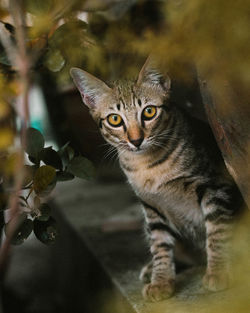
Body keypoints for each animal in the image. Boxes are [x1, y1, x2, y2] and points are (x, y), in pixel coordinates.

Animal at [69, 59, 243, 302]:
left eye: (149, 112)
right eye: (115, 119)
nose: (136, 140)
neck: (147, 166)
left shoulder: (215, 185)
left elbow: (216, 230)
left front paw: (218, 270)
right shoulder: (151, 205)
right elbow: (159, 243)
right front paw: (161, 279)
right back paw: (152, 269)